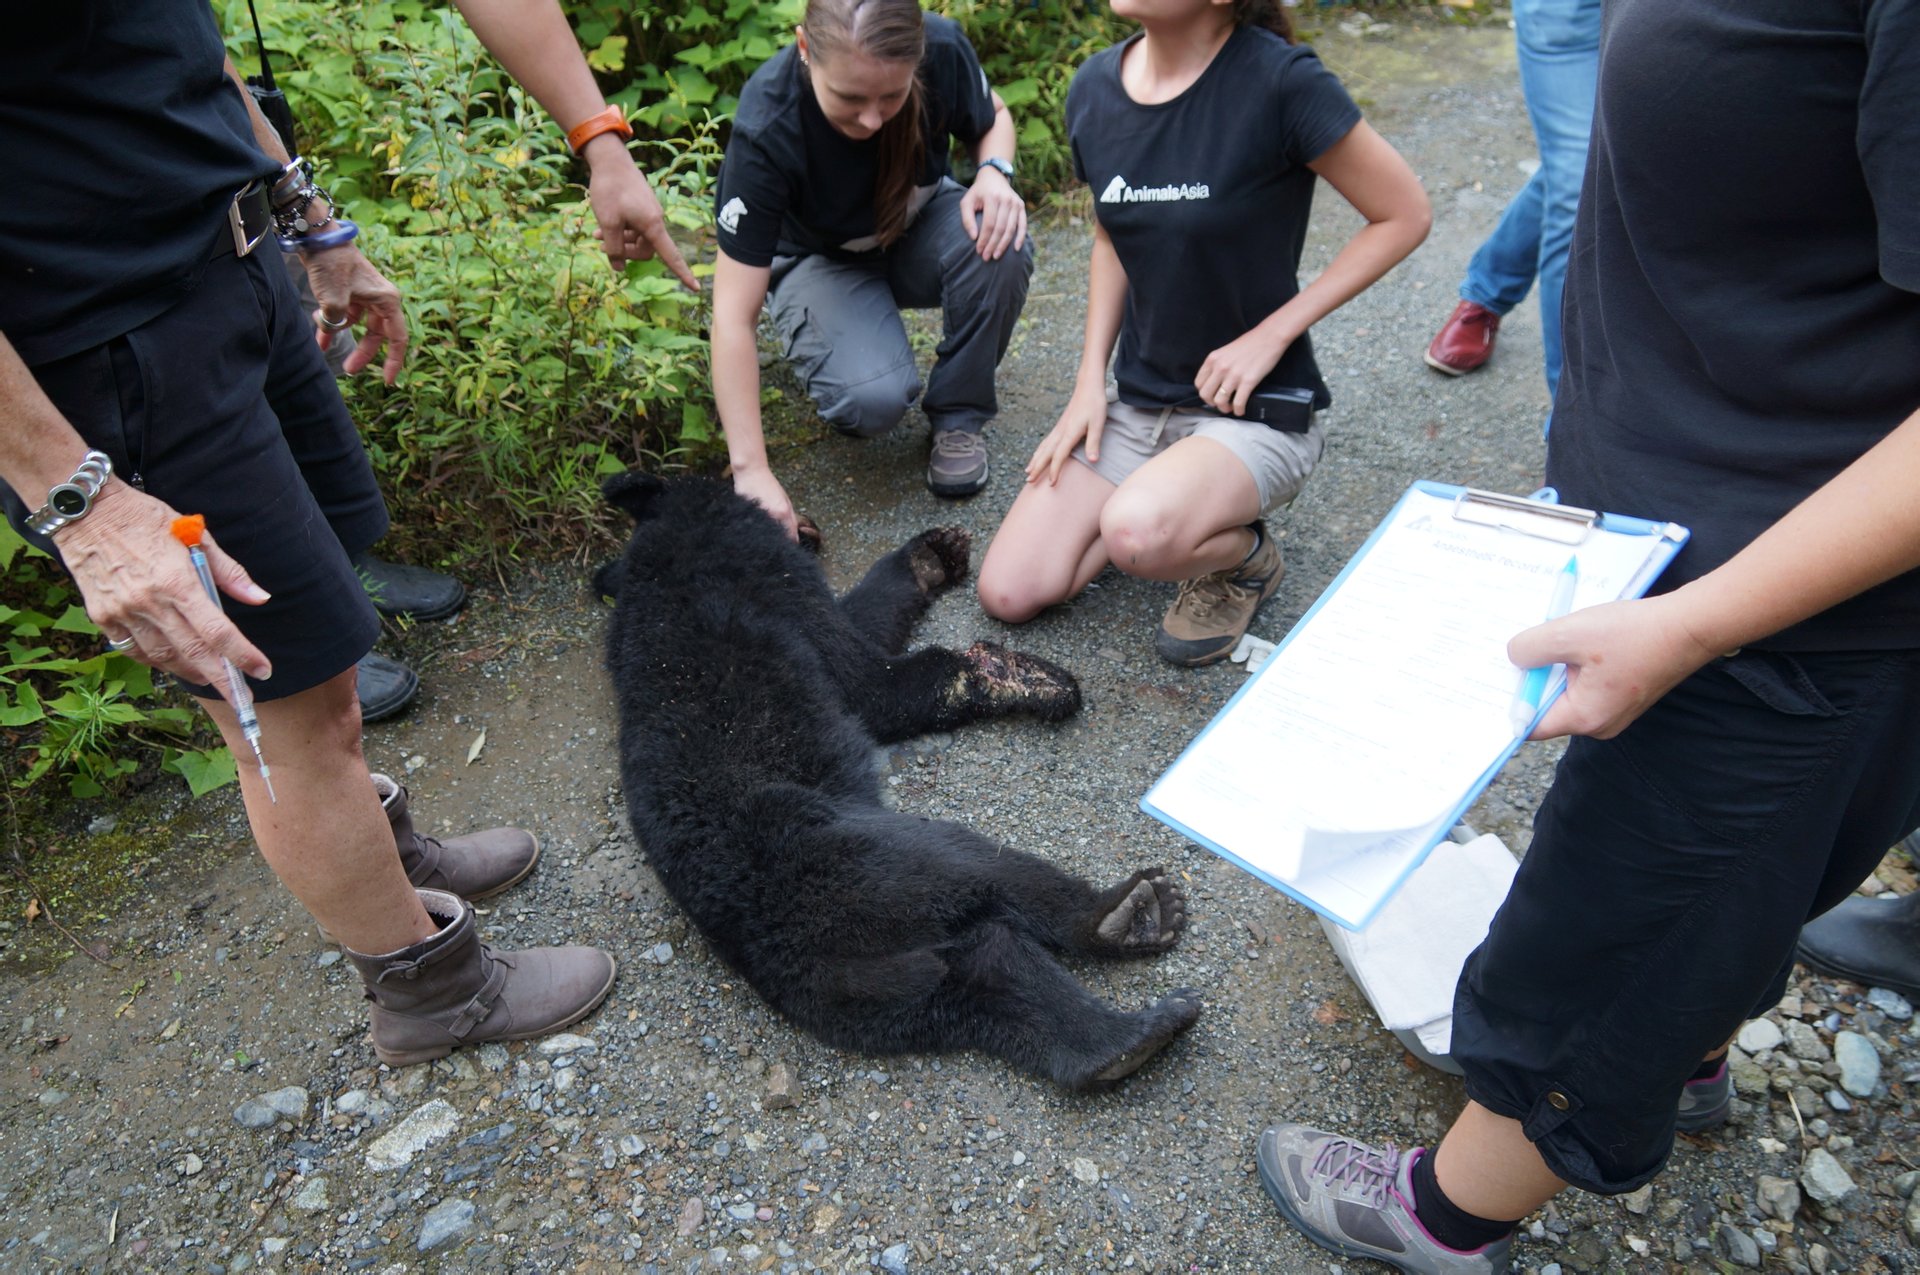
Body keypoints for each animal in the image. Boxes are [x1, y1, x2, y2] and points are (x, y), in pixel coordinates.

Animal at [599, 472, 1198, 1090]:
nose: (805, 526)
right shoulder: (767, 579)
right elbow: (869, 675)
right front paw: (960, 606)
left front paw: (934, 554)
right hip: (874, 861)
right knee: (986, 872)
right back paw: (1125, 912)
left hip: (878, 996)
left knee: (988, 970)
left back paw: (1123, 1038)